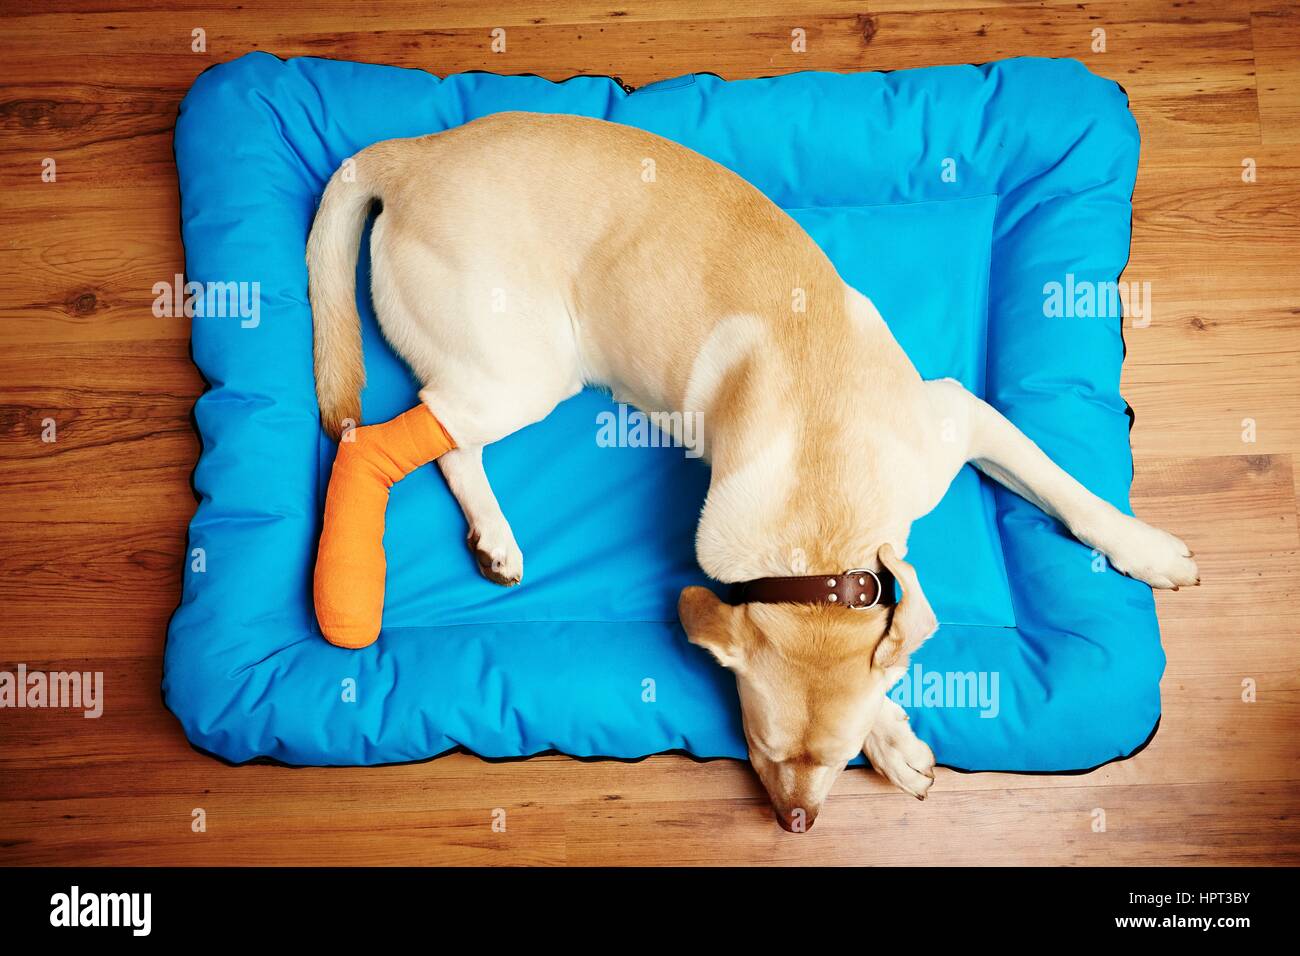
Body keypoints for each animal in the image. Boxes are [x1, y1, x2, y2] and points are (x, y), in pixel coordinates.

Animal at [306, 110, 1196, 832]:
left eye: (835, 759)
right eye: (762, 745)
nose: (795, 823)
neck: (823, 515)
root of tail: (412, 153)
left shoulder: (960, 417)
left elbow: (1066, 490)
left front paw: (1142, 547)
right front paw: (896, 733)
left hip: (516, 372)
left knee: (447, 435)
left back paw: (492, 537)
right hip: (523, 367)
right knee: (409, 432)